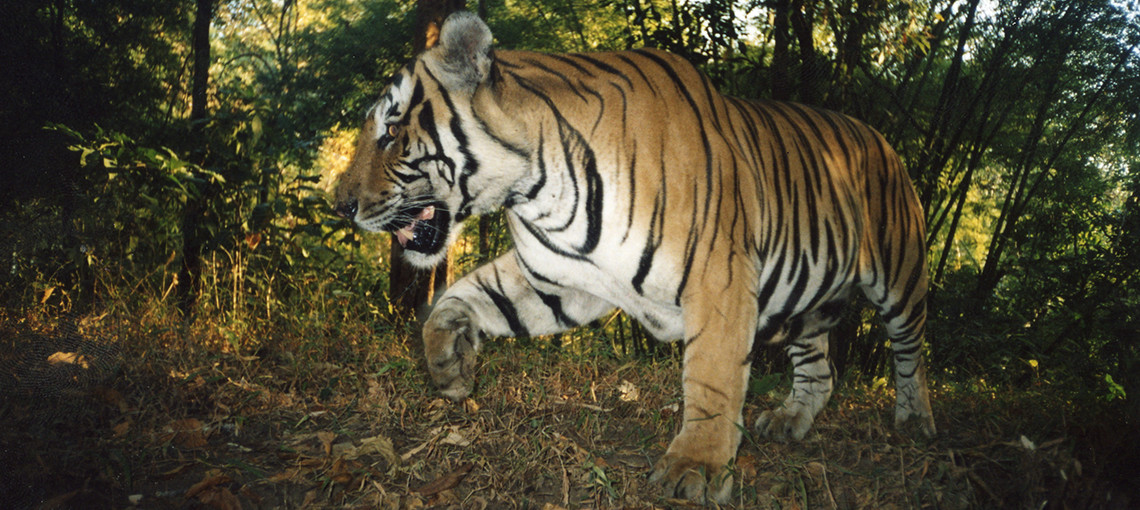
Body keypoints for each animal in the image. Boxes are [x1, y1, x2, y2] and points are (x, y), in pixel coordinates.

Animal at [332, 11, 934, 506]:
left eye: (391, 131)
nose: (339, 205)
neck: (535, 188)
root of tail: (879, 136)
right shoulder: (559, 283)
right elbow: (461, 298)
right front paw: (450, 367)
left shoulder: (718, 275)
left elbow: (712, 377)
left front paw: (696, 468)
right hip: (802, 306)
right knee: (820, 370)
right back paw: (790, 421)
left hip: (900, 277)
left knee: (910, 351)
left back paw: (915, 421)